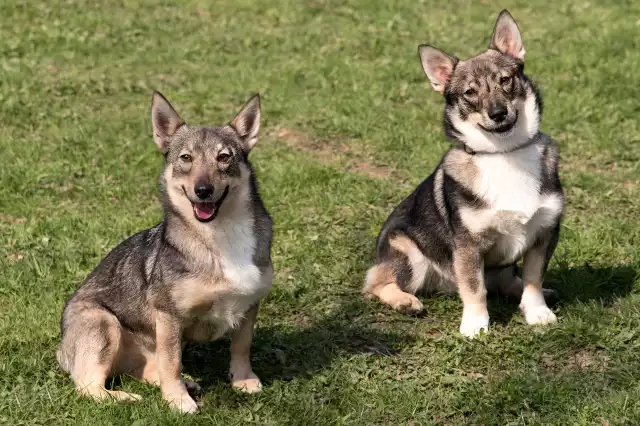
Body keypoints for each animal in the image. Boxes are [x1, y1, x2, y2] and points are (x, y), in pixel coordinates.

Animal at [57, 90, 272, 412]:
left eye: (224, 157)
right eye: (186, 158)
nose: (203, 190)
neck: (220, 235)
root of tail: (62, 347)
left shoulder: (249, 305)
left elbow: (242, 345)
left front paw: (244, 380)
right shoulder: (168, 316)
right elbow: (172, 362)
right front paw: (178, 401)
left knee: (146, 370)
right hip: (104, 323)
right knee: (87, 387)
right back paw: (125, 397)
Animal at [362, 8, 564, 338]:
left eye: (506, 80)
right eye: (470, 93)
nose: (498, 113)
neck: (504, 153)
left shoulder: (544, 233)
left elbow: (533, 279)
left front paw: (537, 313)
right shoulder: (468, 247)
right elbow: (474, 288)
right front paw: (475, 326)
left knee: (510, 281)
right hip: (408, 251)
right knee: (375, 284)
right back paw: (405, 301)